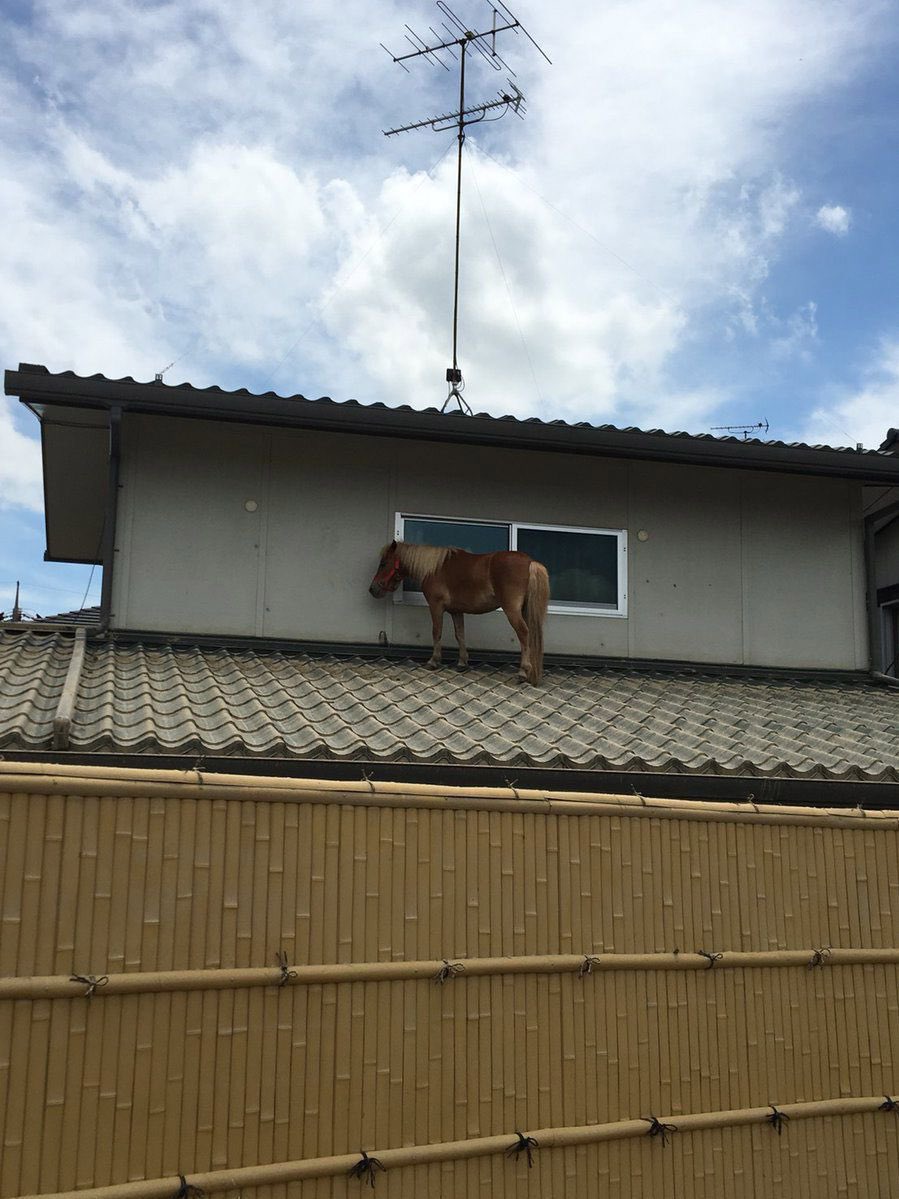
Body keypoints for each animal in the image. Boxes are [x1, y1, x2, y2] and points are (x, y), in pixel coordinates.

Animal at [368, 540, 550, 684]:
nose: (372, 589)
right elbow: (460, 634)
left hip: (512, 610)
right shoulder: (456, 611)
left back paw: (522, 672)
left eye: (383, 563)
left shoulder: (436, 606)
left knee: (524, 634)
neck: (435, 568)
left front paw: (433, 661)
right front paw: (462, 663)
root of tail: (530, 562)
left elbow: (437, 632)